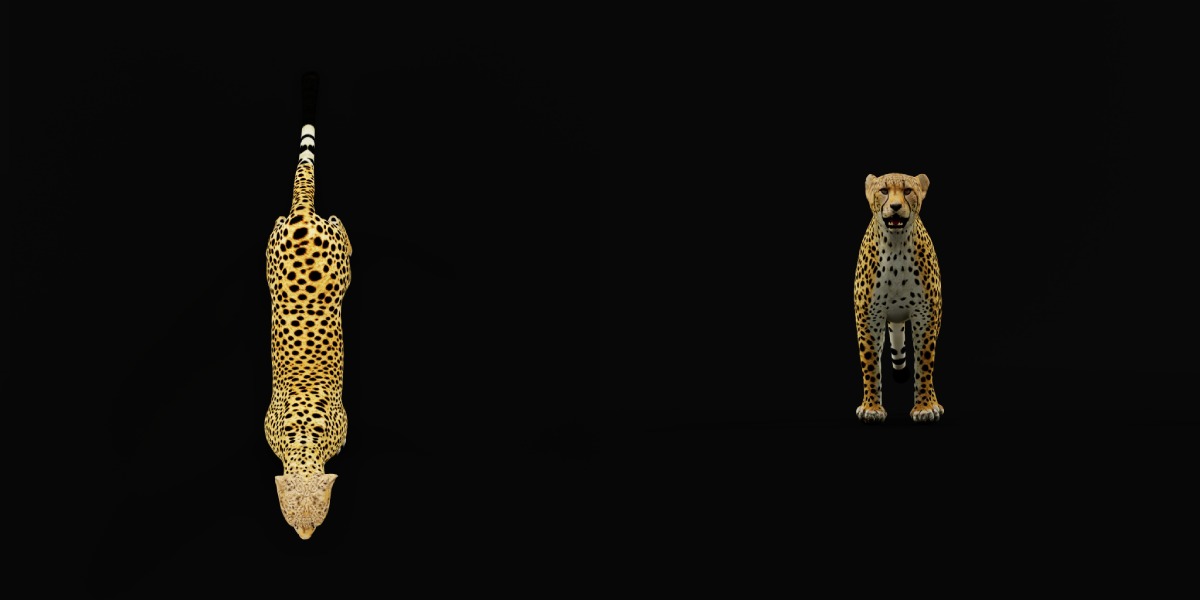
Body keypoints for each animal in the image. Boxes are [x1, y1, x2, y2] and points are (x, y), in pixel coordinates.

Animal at [853, 172, 943, 423]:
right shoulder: (869, 316)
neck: (896, 245)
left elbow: (925, 361)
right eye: (884, 190)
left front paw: (925, 407)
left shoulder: (925, 315)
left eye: (908, 191)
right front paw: (871, 407)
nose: (895, 206)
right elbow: (870, 362)